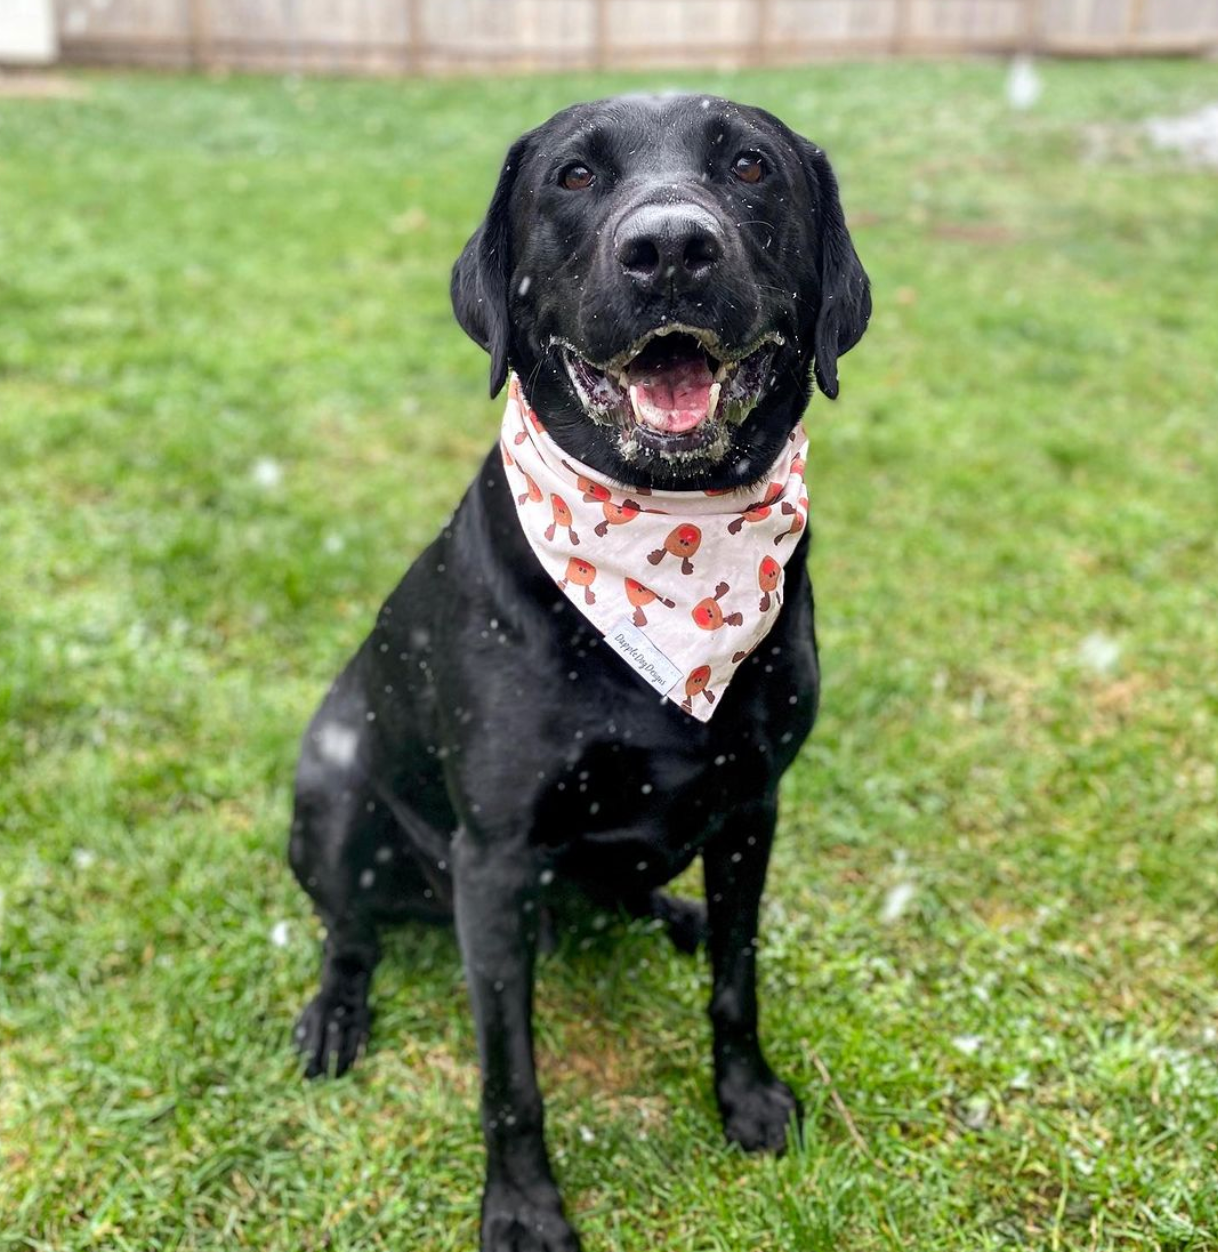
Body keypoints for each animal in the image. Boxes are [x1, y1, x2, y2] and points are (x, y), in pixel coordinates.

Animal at [290, 92, 871, 1246]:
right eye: (574, 176)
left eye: (750, 165)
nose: (671, 249)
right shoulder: (497, 857)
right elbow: (509, 1073)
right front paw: (522, 1207)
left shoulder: (754, 806)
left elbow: (738, 981)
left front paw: (746, 1097)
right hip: (331, 785)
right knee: (350, 928)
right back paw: (335, 1011)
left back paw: (673, 915)